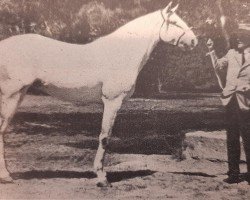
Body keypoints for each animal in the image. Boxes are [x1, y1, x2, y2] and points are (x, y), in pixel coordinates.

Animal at [0, 2, 197, 187]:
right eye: (174, 22)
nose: (194, 41)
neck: (121, 54)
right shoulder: (112, 101)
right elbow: (105, 137)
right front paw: (102, 178)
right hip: (11, 96)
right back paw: (6, 176)